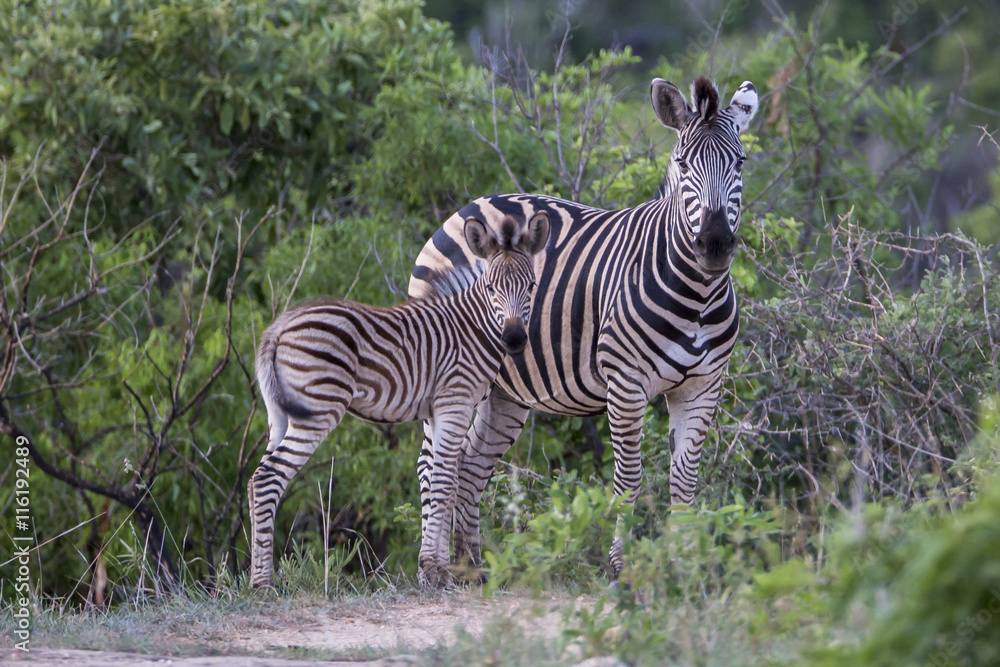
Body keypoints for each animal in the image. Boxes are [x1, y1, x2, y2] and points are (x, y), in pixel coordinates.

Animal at [248, 211, 550, 589]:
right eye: (491, 288)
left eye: (532, 286)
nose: (514, 339)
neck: (472, 328)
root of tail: (278, 327)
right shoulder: (455, 401)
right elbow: (444, 480)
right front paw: (436, 572)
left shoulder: (437, 410)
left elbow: (441, 479)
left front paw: (435, 567)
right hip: (318, 410)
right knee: (267, 479)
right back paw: (264, 584)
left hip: (279, 414)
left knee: (255, 480)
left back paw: (256, 579)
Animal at [408, 76, 758, 581]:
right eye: (683, 164)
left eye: (740, 162)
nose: (713, 245)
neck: (697, 296)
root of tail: (473, 204)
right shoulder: (626, 383)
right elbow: (629, 477)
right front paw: (621, 567)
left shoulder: (703, 386)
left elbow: (684, 478)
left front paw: (684, 566)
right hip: (444, 365)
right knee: (433, 461)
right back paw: (431, 569)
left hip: (504, 387)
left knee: (469, 463)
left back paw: (470, 567)